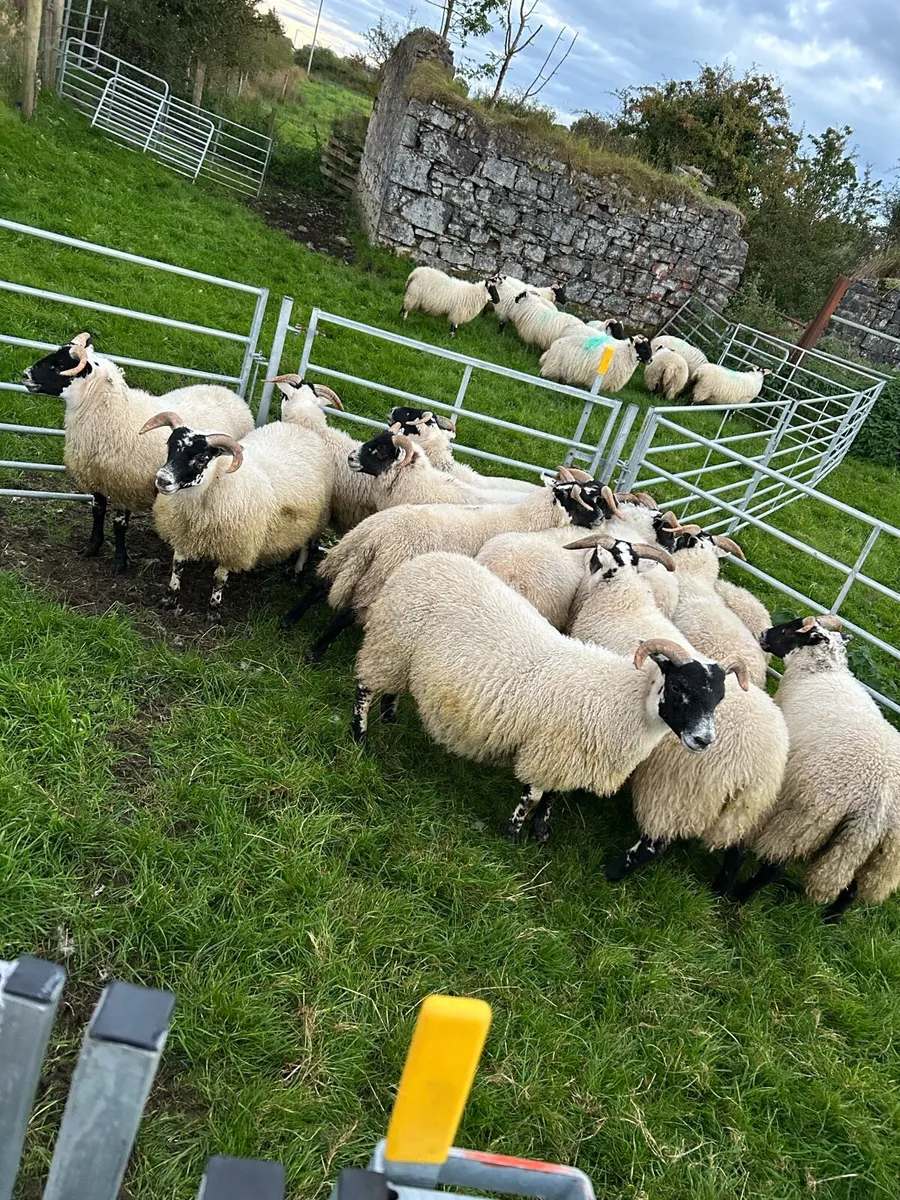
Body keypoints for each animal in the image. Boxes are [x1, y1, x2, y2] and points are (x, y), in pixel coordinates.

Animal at [22, 332, 254, 574]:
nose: (25, 375)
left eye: (59, 365)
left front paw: (119, 562)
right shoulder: (97, 477)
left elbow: (119, 525)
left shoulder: (125, 484)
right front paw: (92, 547)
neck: (113, 412)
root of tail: (232, 394)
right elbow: (97, 511)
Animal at [140, 410, 333, 622]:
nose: (162, 480)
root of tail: (301, 428)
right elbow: (177, 565)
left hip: (315, 518)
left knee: (306, 546)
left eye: (202, 458)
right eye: (170, 446)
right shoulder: (183, 530)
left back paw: (297, 573)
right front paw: (169, 597)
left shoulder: (232, 545)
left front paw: (213, 610)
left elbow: (219, 578)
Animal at [280, 472, 622, 662]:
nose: (600, 519)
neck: (524, 518)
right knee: (348, 612)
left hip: (345, 551)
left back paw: (288, 620)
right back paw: (316, 652)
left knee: (319, 584)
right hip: (381, 575)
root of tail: (377, 536)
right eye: (585, 499)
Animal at [352, 550, 732, 845]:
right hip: (390, 641)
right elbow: (533, 794)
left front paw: (541, 831)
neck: (620, 699)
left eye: (717, 700)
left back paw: (390, 717)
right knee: (364, 688)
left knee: (390, 688)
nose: (704, 740)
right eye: (680, 688)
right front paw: (511, 832)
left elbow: (552, 796)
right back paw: (360, 736)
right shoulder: (546, 750)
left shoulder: (568, 757)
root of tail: (424, 559)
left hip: (401, 653)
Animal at [734, 615, 900, 922]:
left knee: (775, 866)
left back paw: (741, 894)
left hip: (806, 818)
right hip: (884, 855)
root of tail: (879, 806)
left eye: (789, 629)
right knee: (852, 890)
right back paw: (831, 921)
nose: (763, 634)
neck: (820, 671)